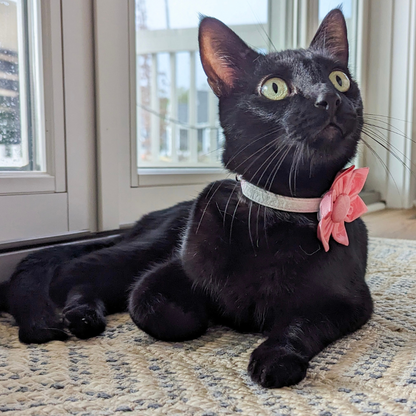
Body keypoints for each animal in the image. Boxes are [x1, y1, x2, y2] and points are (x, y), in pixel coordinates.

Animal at [0, 8, 370, 388]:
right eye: (274, 88)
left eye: (340, 79)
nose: (329, 98)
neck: (278, 213)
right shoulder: (170, 270)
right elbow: (150, 307)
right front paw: (212, 312)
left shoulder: (349, 301)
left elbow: (302, 323)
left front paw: (276, 356)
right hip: (140, 252)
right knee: (70, 274)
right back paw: (80, 314)